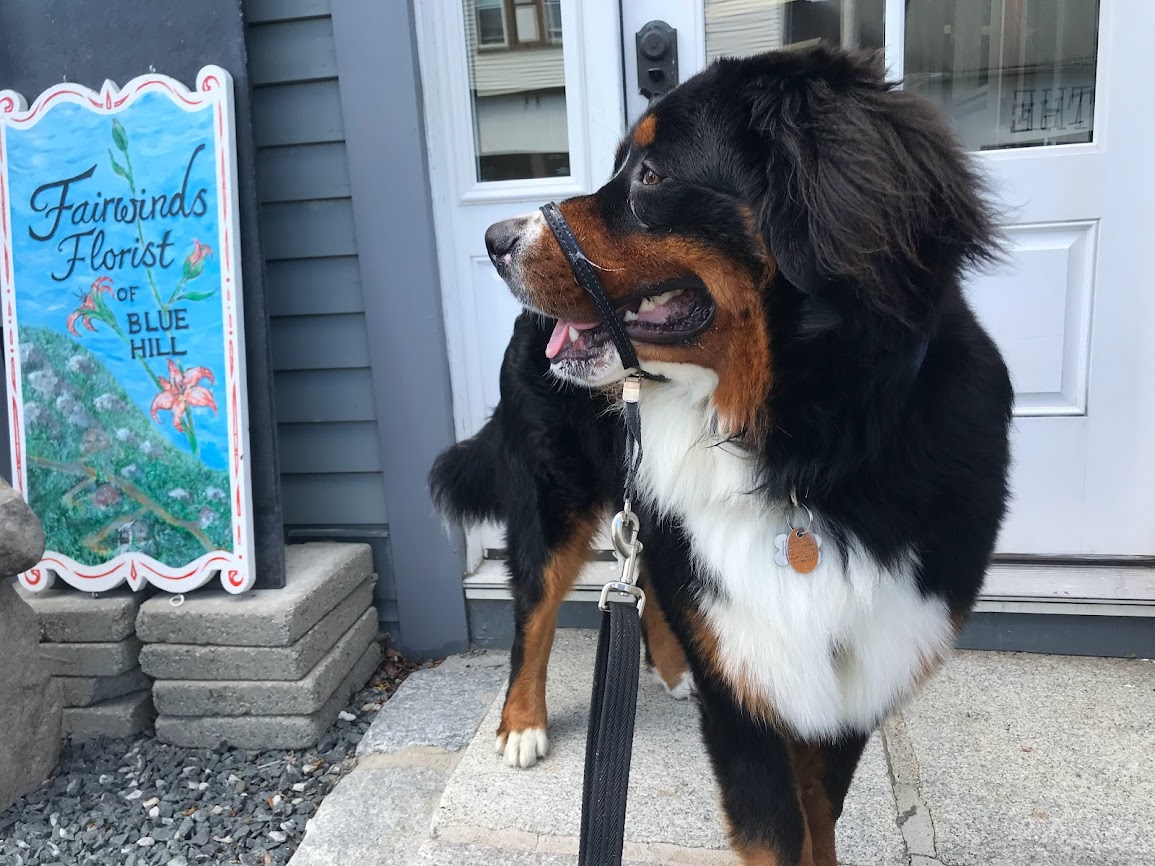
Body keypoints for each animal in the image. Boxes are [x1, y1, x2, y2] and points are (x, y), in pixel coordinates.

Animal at [431, 45, 1011, 866]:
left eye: (650, 174)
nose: (494, 240)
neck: (802, 459)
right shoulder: (748, 696)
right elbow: (778, 835)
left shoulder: (854, 674)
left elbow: (818, 818)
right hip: (554, 498)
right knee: (534, 608)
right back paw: (522, 722)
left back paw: (672, 668)